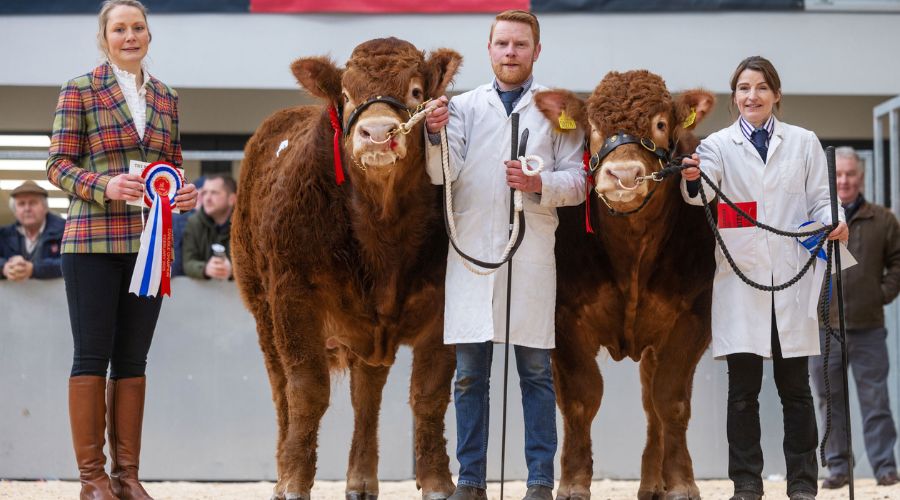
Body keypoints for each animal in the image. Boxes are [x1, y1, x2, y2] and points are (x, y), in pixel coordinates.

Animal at [230, 40, 464, 500]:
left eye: (415, 91)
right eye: (347, 93)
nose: (377, 133)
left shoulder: (444, 306)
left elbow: (428, 393)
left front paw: (437, 482)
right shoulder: (294, 297)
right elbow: (307, 391)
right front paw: (294, 482)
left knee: (367, 395)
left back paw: (361, 480)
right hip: (264, 314)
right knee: (282, 392)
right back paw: (282, 472)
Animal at [536, 71, 716, 500]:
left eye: (661, 124)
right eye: (592, 128)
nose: (624, 175)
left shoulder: (693, 316)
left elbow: (670, 400)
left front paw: (681, 482)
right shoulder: (563, 318)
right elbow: (581, 398)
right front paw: (573, 482)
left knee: (652, 404)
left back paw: (653, 482)